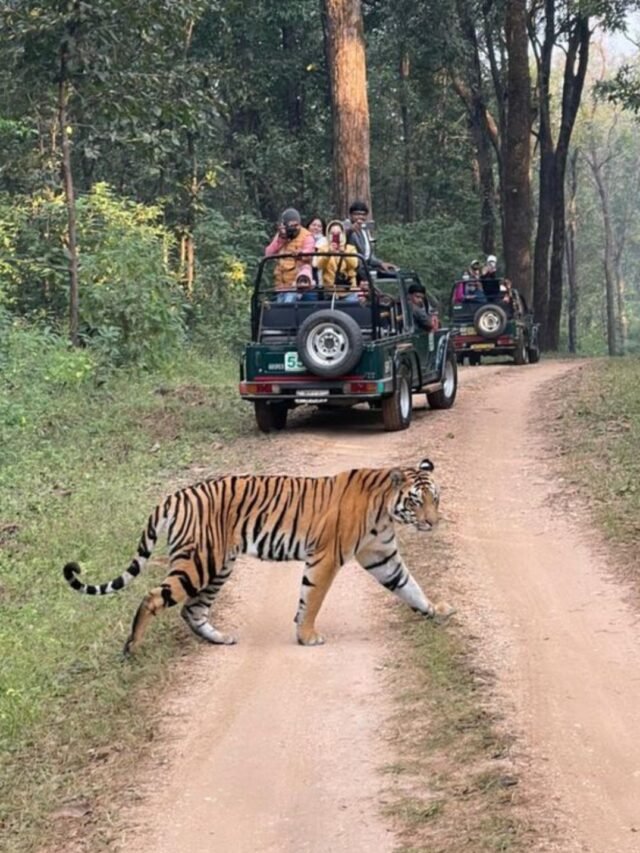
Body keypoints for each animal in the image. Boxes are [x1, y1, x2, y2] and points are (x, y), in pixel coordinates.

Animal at [62, 458, 454, 655]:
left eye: (435, 498)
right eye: (416, 501)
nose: (433, 522)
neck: (385, 512)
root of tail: (174, 496)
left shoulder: (382, 557)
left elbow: (409, 586)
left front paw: (435, 610)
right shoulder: (326, 557)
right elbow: (312, 598)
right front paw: (307, 636)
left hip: (219, 565)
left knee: (192, 610)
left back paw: (220, 640)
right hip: (199, 562)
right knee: (152, 597)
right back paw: (132, 647)